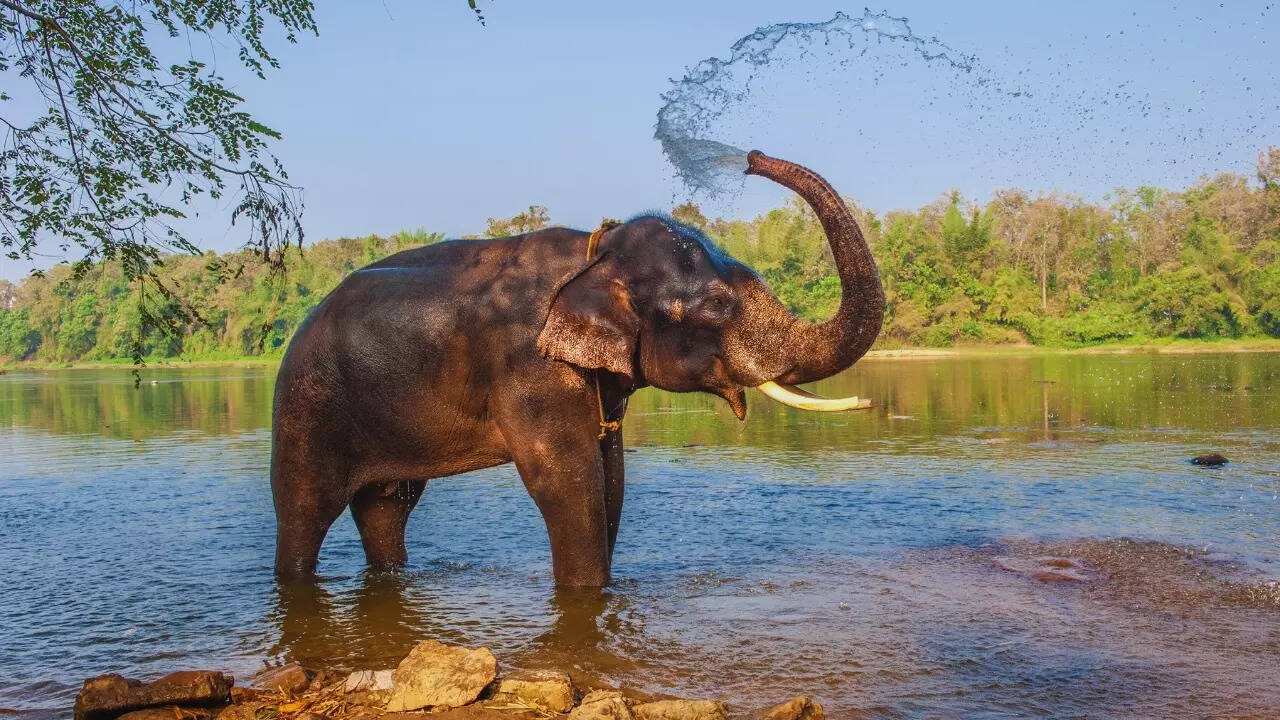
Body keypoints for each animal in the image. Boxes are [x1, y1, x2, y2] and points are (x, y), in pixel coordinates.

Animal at [270, 150, 885, 586]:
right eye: (715, 305)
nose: (752, 157)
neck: (596, 252)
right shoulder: (529, 365)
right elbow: (567, 482)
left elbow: (611, 478)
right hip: (307, 403)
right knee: (304, 509)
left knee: (386, 507)